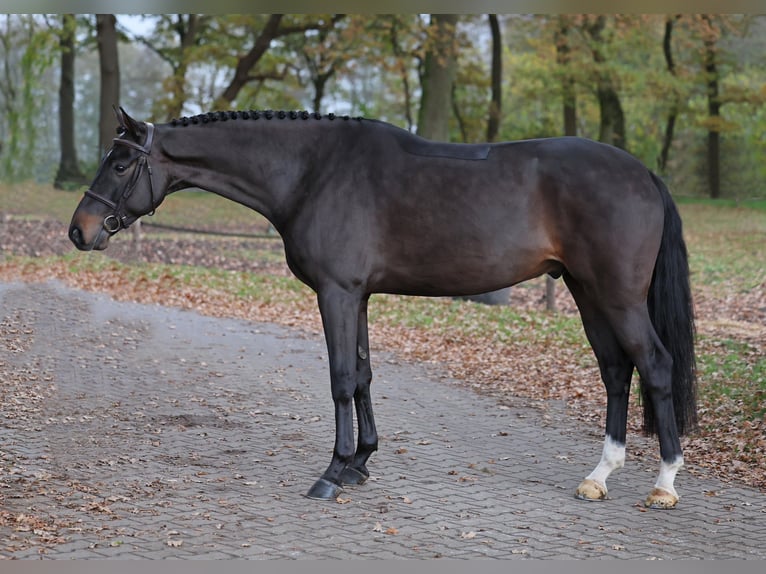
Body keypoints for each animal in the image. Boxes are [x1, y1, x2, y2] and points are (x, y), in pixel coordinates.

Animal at [69, 107, 700, 508]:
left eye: (120, 164)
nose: (80, 231)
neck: (312, 171)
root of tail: (644, 172)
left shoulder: (337, 292)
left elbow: (341, 378)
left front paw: (332, 472)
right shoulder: (360, 295)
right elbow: (365, 374)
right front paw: (361, 464)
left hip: (615, 295)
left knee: (655, 365)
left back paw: (665, 484)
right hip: (586, 291)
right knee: (617, 370)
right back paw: (599, 476)